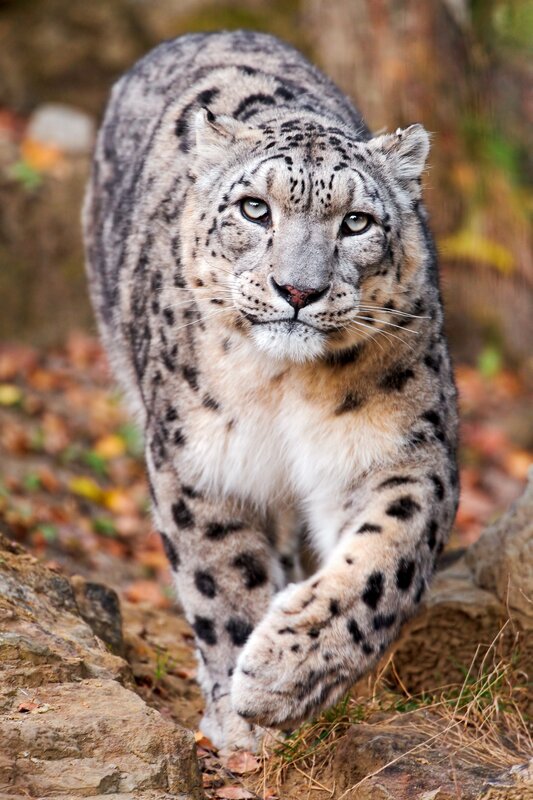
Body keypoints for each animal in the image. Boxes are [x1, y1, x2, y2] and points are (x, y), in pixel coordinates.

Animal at [83, 29, 459, 753]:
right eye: (255, 209)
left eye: (356, 222)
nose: (298, 290)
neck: (285, 388)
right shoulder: (201, 459)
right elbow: (224, 577)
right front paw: (243, 715)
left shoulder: (401, 450)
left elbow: (381, 563)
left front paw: (285, 674)